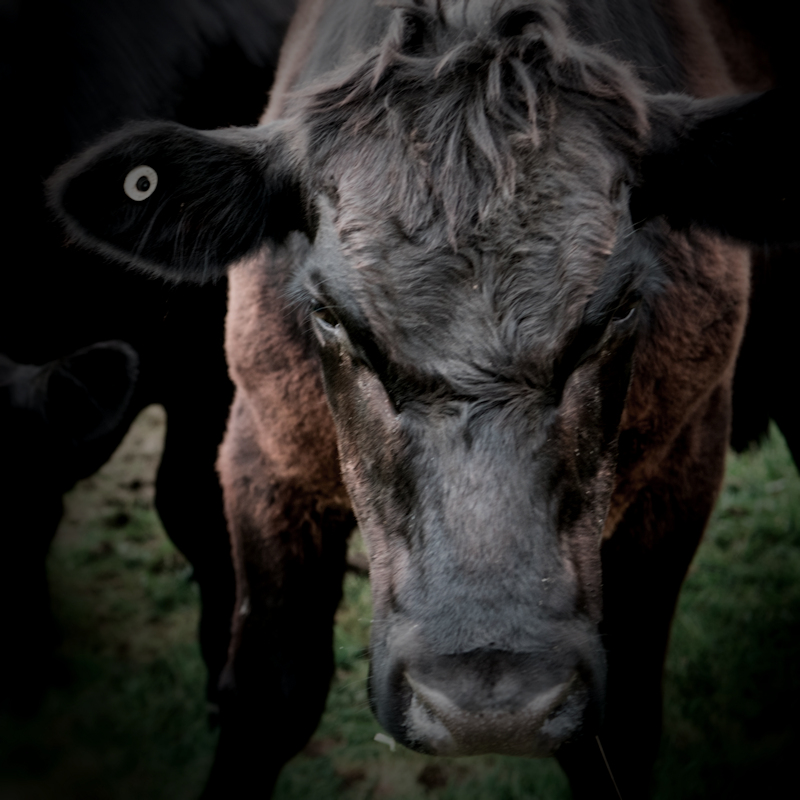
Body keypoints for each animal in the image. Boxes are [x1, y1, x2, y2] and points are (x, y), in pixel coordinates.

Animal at [49, 0, 799, 796]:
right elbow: (268, 696)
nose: (488, 704)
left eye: (623, 306)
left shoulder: (684, 462)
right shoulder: (263, 450)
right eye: (328, 313)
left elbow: (616, 733)